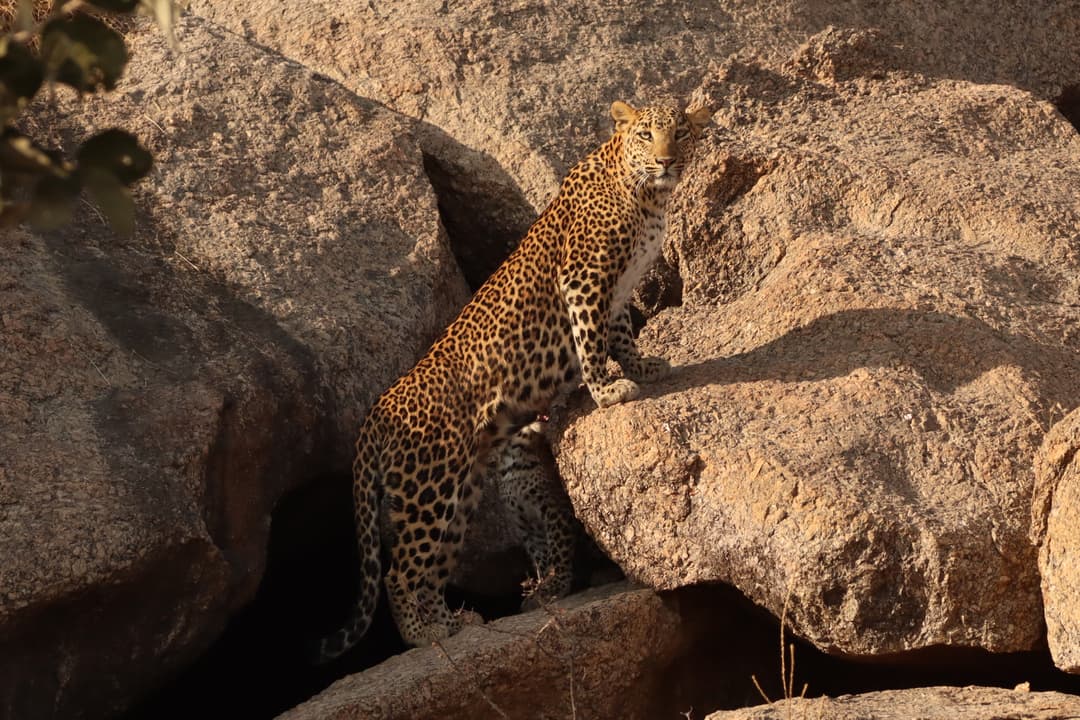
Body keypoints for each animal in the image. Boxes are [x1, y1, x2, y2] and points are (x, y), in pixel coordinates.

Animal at [313, 99, 712, 661]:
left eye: (681, 133)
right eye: (646, 135)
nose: (666, 160)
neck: (647, 196)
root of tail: (376, 411)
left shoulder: (616, 292)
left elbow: (619, 334)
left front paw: (643, 369)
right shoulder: (584, 279)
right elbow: (591, 339)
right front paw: (607, 390)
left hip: (461, 491)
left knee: (431, 569)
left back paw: (455, 623)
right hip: (430, 486)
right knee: (399, 573)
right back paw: (425, 636)